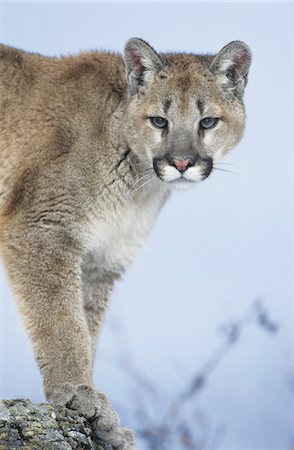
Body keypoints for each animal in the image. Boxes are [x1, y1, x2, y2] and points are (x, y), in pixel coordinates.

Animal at [0, 37, 252, 448]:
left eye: (208, 121)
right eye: (159, 121)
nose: (182, 162)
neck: (138, 181)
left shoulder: (102, 259)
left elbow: (86, 326)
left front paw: (98, 421)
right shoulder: (42, 228)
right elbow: (62, 323)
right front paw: (77, 393)